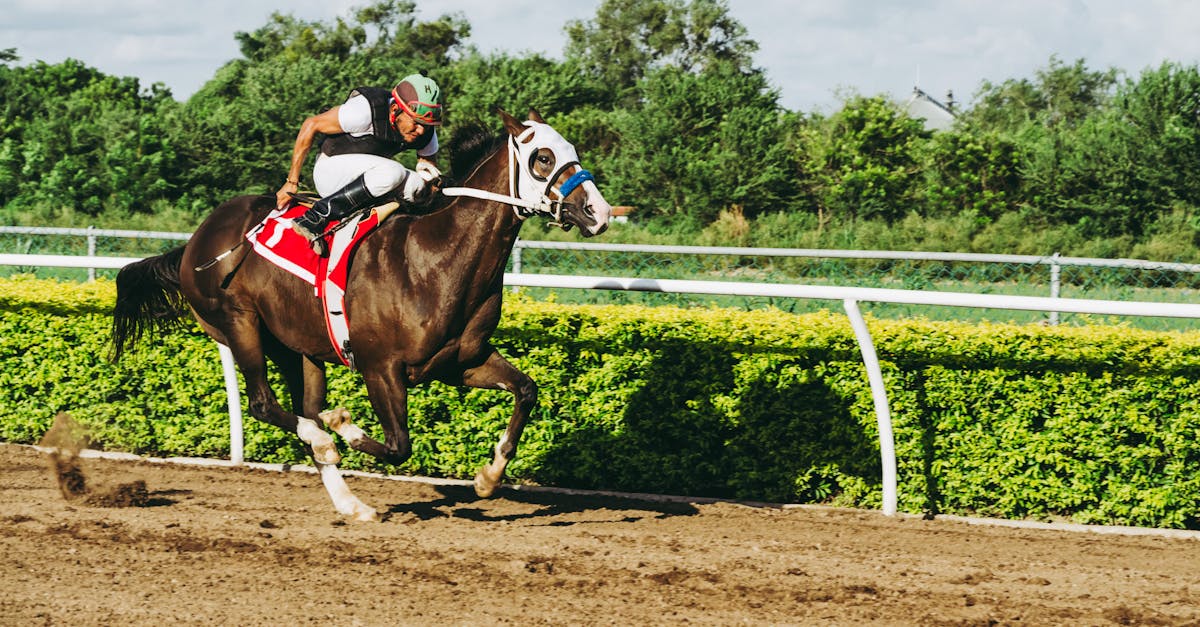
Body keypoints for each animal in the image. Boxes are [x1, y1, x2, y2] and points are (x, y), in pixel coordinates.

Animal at [111, 109, 613, 521]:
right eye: (543, 157)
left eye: (573, 151)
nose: (599, 212)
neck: (435, 257)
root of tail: (194, 243)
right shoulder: (380, 367)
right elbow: (398, 446)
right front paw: (345, 426)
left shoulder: (461, 361)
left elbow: (526, 391)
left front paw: (488, 477)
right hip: (239, 324)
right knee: (264, 405)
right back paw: (325, 440)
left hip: (298, 349)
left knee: (304, 409)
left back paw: (351, 502)